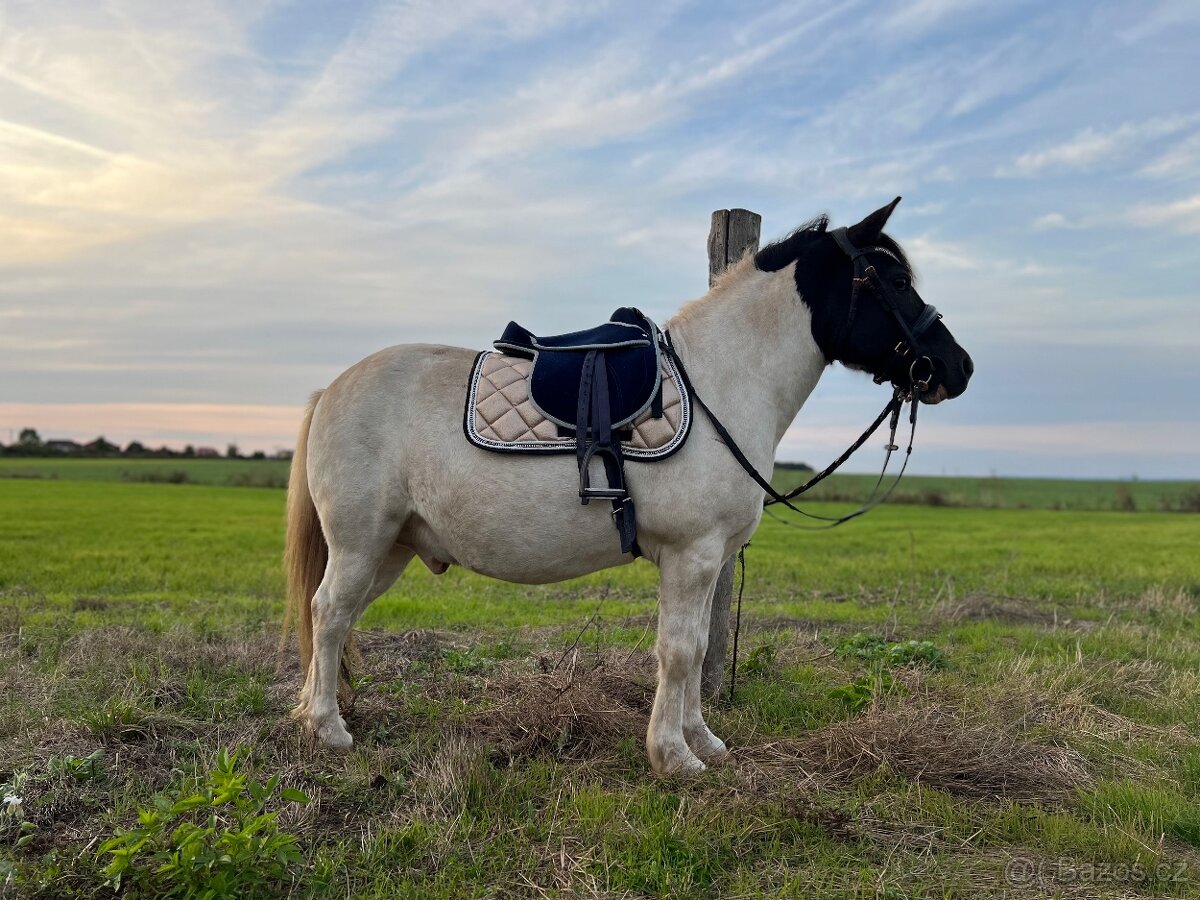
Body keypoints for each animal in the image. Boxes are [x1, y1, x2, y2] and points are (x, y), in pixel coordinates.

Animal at [283, 198, 973, 775]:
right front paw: (673, 758)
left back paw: (327, 713)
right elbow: (679, 651)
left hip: (392, 549)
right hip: (360, 543)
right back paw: (329, 729)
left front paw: (703, 743)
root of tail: (330, 390)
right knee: (329, 612)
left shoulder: (707, 560)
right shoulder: (691, 556)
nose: (958, 367)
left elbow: (698, 649)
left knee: (335, 622)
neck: (722, 381)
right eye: (898, 281)